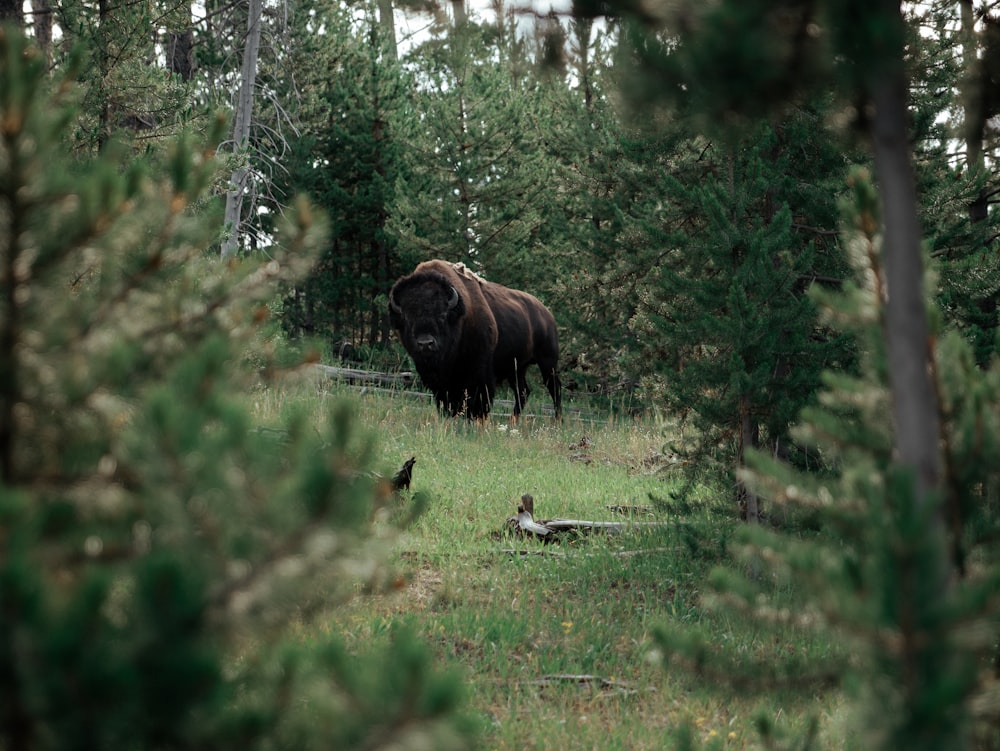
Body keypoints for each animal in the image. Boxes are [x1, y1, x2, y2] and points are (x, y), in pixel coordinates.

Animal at [388, 262, 564, 420]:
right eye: (407, 318)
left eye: (442, 315)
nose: (425, 344)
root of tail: (546, 313)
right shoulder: (441, 382)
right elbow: (446, 402)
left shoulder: (480, 372)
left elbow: (479, 401)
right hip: (516, 368)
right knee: (523, 392)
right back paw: (513, 421)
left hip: (547, 362)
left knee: (554, 388)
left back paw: (557, 421)